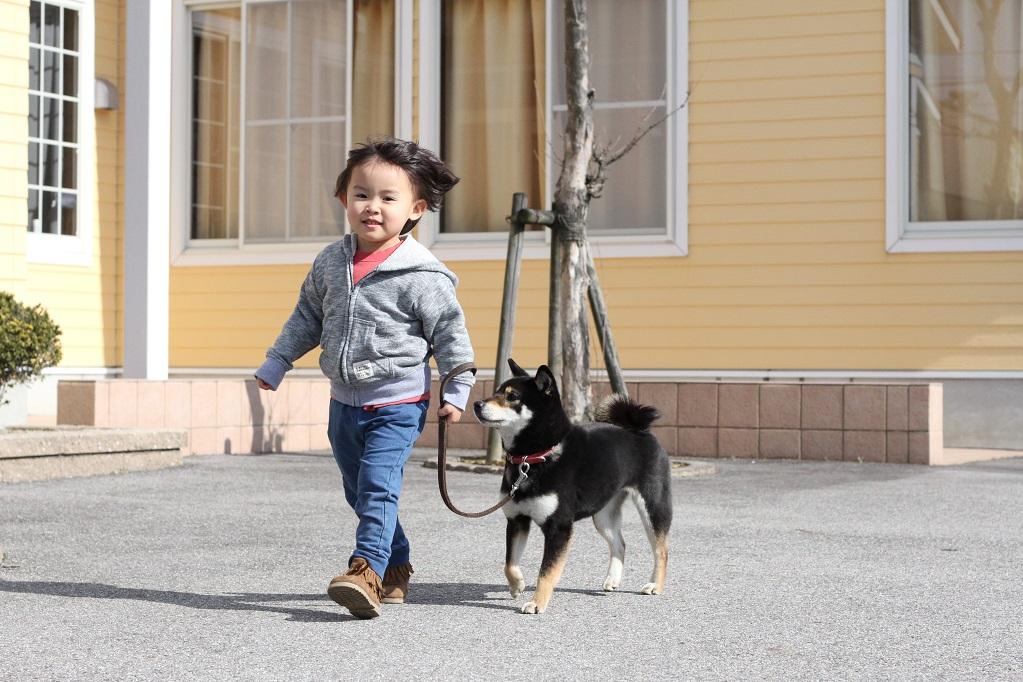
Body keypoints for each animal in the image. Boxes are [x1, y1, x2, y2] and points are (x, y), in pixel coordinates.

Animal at [470, 359, 671, 617]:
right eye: (497, 391)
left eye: (512, 396)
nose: (477, 404)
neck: (534, 457)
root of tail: (640, 430)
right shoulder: (517, 520)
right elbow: (509, 563)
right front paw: (517, 585)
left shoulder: (559, 526)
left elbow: (546, 571)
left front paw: (537, 602)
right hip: (603, 515)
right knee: (620, 544)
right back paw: (613, 580)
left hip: (652, 505)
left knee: (661, 550)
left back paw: (655, 584)